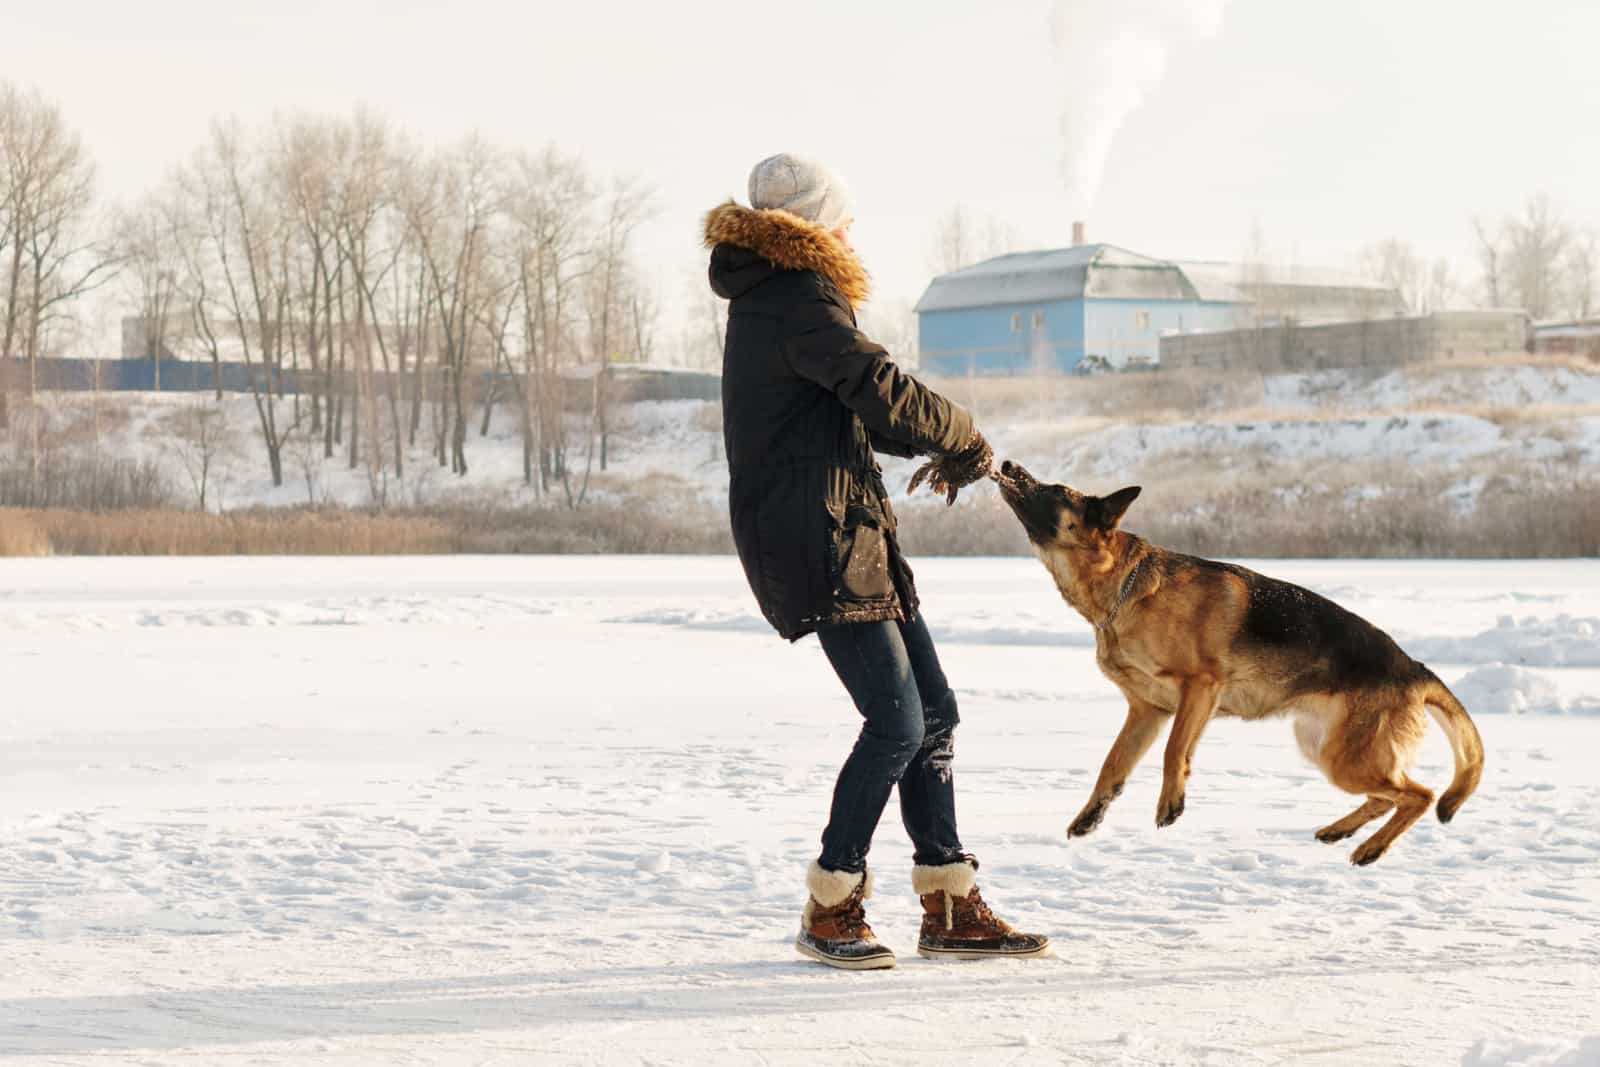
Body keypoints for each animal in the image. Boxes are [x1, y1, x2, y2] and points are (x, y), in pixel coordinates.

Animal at [992, 460, 1478, 870]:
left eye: (1055, 490)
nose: (1008, 464)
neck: (1123, 587)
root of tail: (1414, 668)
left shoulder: (1199, 689)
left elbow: (1174, 752)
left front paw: (1171, 803)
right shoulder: (1148, 711)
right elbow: (1112, 766)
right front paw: (1091, 815)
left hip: (1345, 758)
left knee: (1419, 794)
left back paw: (1371, 847)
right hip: (1321, 747)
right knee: (1388, 796)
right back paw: (1340, 831)